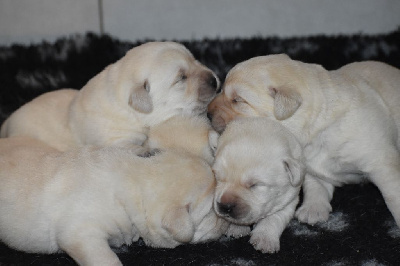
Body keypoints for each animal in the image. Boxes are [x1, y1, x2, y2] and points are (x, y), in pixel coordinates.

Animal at [208, 54, 400, 229]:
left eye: (237, 100)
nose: (207, 113)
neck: (317, 128)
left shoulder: (381, 162)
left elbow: (393, 194)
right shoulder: (309, 166)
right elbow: (315, 185)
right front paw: (313, 209)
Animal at [212, 117, 304, 252]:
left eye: (254, 185)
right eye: (218, 178)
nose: (225, 206)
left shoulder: (290, 198)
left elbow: (274, 217)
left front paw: (265, 238)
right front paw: (236, 228)